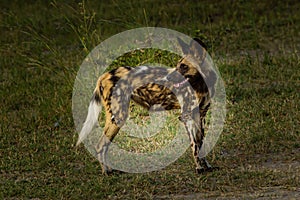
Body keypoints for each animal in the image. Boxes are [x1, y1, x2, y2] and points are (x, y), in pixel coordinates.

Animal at [77, 37, 218, 173]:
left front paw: (206, 166)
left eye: (183, 66)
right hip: (118, 117)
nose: (168, 78)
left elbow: (201, 144)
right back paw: (106, 172)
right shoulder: (186, 117)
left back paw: (109, 170)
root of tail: (105, 74)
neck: (202, 84)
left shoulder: (200, 116)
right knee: (100, 145)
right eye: (177, 66)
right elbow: (195, 146)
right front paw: (199, 168)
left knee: (103, 145)